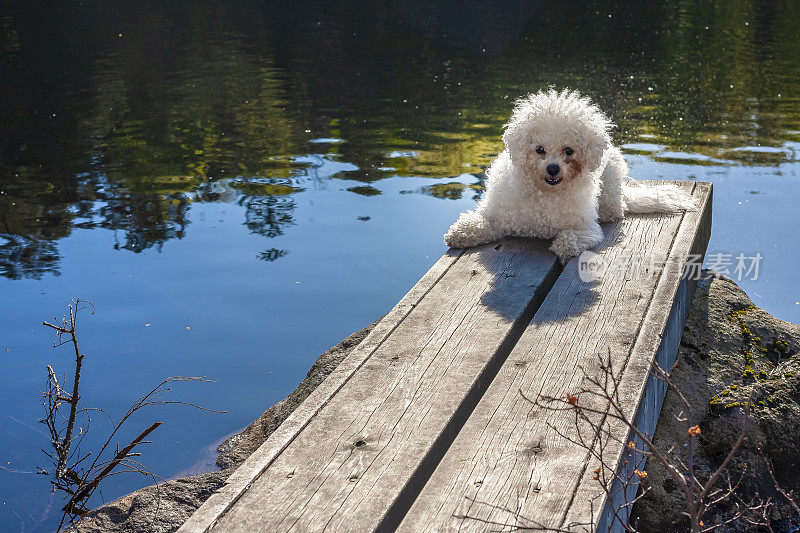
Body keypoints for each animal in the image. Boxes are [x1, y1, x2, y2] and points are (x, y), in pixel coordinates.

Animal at [444, 90, 692, 264]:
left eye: (569, 151)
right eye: (540, 149)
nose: (553, 169)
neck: (545, 194)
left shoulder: (587, 228)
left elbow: (574, 237)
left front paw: (564, 246)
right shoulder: (499, 215)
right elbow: (482, 221)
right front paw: (461, 232)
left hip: (611, 182)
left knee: (615, 208)